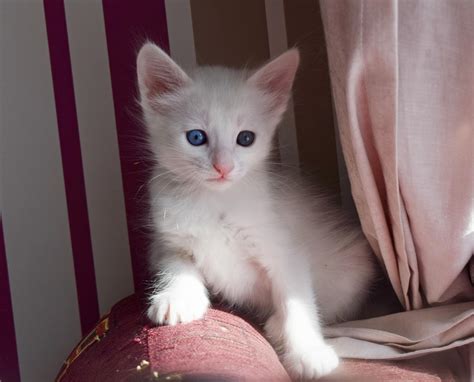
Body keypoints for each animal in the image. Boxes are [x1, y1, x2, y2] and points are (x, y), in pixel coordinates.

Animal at [137, 43, 378, 380]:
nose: (223, 167)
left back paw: (277, 325)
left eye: (246, 138)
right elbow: (176, 264)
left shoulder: (285, 250)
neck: (214, 201)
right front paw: (177, 297)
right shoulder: (166, 240)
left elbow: (298, 302)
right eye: (196, 137)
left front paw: (309, 353)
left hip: (353, 264)